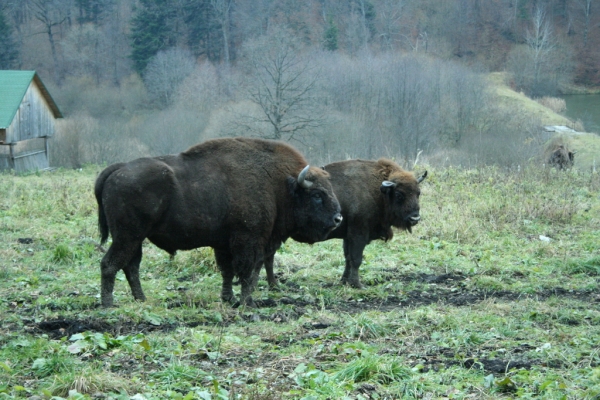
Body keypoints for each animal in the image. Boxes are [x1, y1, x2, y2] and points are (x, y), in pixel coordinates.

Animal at [96, 137, 344, 306]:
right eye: (317, 195)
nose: (338, 218)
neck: (281, 185)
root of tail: (119, 168)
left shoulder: (224, 244)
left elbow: (228, 271)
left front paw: (229, 298)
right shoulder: (248, 240)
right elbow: (246, 271)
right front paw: (247, 302)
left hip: (135, 238)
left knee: (131, 266)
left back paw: (141, 299)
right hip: (127, 236)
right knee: (110, 264)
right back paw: (109, 304)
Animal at [262, 158, 426, 290]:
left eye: (418, 193)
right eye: (399, 194)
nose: (415, 218)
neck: (378, 191)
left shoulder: (348, 237)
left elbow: (348, 258)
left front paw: (344, 281)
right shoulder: (359, 234)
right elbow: (356, 259)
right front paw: (358, 284)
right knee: (269, 257)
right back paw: (275, 285)